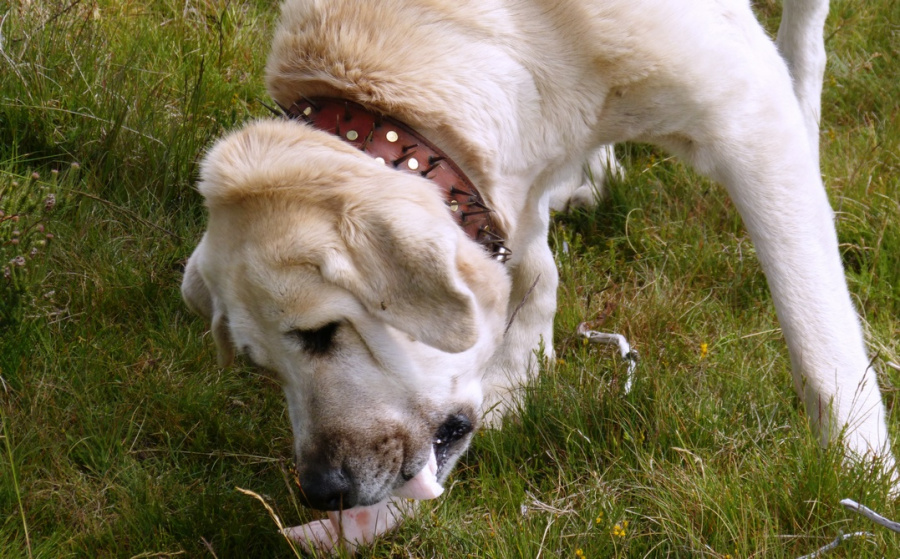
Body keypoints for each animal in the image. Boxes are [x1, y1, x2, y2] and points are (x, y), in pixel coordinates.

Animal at [181, 0, 892, 552]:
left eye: (322, 333)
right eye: (262, 365)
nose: (322, 493)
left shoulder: (746, 119)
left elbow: (820, 344)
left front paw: (863, 475)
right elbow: (529, 266)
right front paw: (519, 374)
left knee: (803, 40)